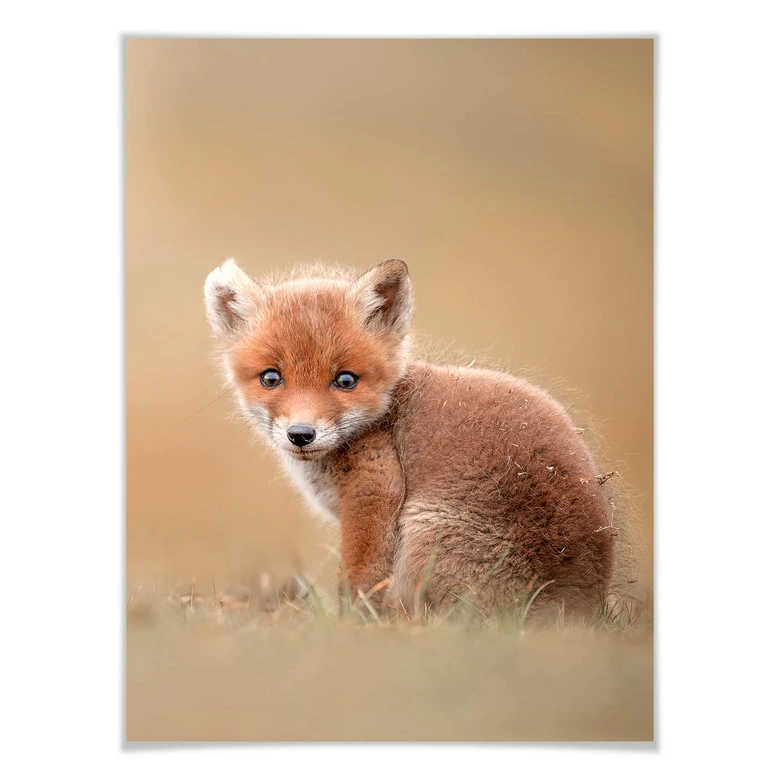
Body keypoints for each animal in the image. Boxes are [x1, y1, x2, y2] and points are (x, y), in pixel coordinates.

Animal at [204, 257, 618, 619]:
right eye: (271, 378)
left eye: (345, 380)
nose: (301, 434)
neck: (385, 415)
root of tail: (580, 607)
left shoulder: (374, 491)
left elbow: (360, 581)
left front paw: (349, 630)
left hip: (423, 533)